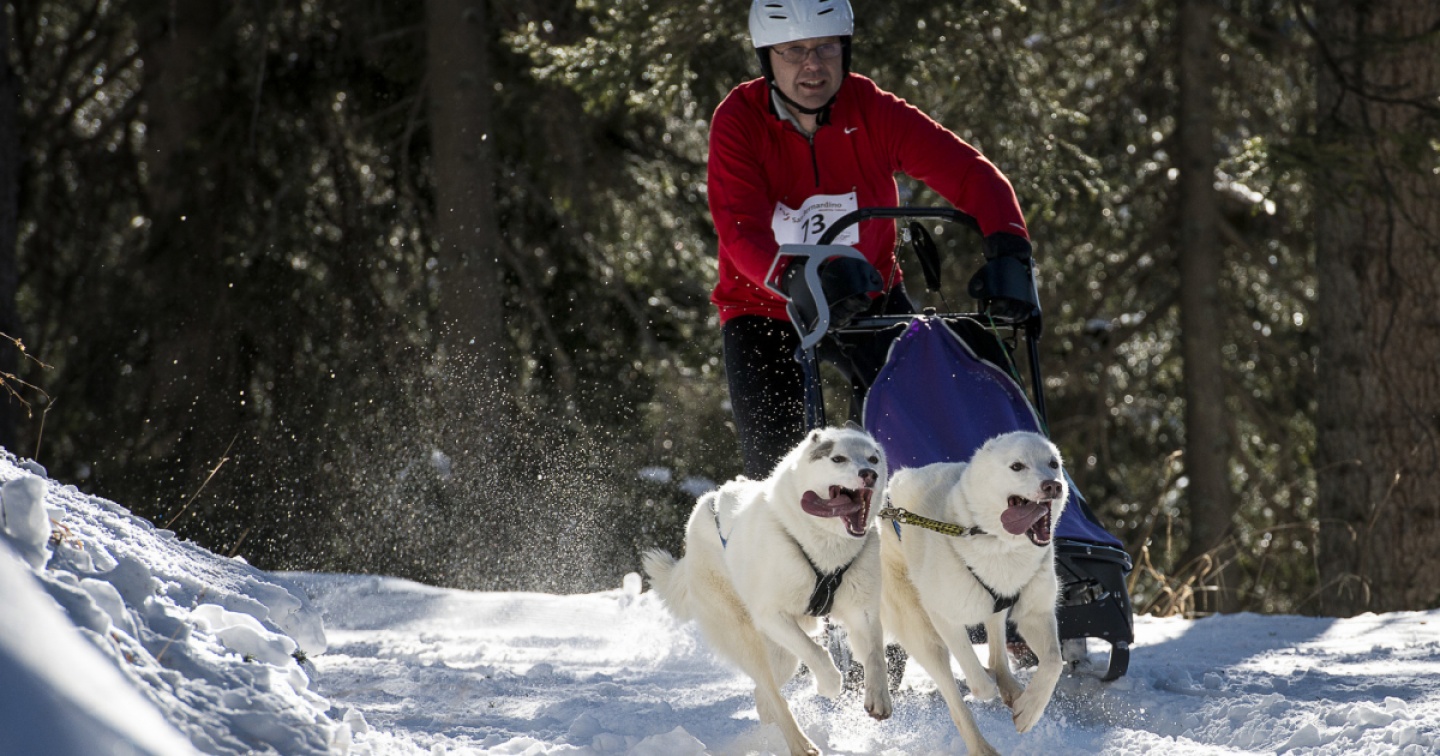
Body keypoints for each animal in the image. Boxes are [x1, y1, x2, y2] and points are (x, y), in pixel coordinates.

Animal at [643, 425, 892, 756]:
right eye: (838, 458)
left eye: (873, 459)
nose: (869, 474)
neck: (826, 548)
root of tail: (706, 505)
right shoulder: (772, 615)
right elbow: (816, 652)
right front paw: (828, 683)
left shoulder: (863, 611)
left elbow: (876, 655)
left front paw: (879, 697)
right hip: (748, 641)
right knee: (774, 694)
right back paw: (801, 744)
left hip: (782, 657)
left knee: (764, 694)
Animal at [879, 431, 1068, 756]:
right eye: (1017, 466)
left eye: (1053, 464)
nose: (1052, 485)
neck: (999, 545)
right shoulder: (944, 617)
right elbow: (978, 683)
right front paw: (988, 687)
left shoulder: (1035, 613)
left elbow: (1054, 663)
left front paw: (1028, 710)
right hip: (922, 635)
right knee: (957, 701)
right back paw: (982, 746)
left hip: (992, 611)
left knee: (997, 648)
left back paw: (1011, 688)